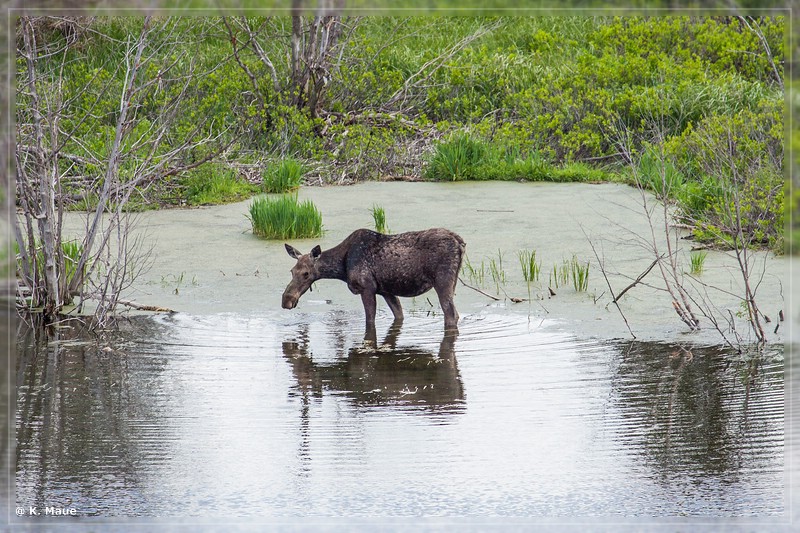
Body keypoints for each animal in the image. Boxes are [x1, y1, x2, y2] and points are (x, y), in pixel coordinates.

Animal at [282, 229, 466, 332]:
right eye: (291, 271)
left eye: (306, 273)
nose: (286, 300)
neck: (341, 268)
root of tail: (460, 242)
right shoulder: (386, 291)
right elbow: (399, 315)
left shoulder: (367, 288)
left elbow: (370, 321)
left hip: (443, 281)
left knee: (451, 314)